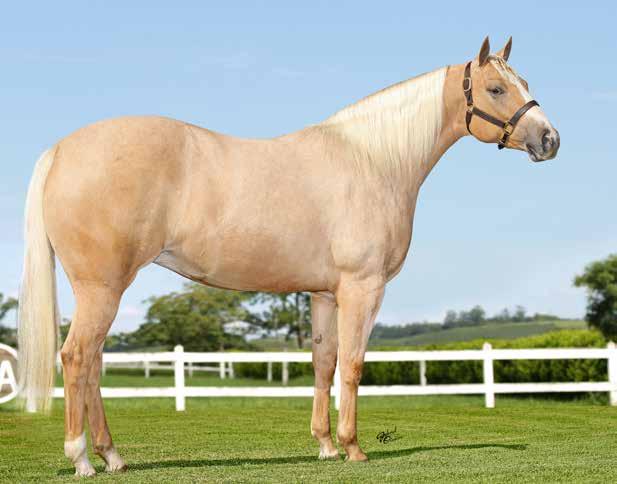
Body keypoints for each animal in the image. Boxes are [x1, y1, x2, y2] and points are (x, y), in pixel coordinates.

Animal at [18, 37, 560, 476]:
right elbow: (353, 365)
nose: (549, 139)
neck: (373, 161)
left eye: (524, 83)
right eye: (495, 89)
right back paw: (83, 458)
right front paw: (353, 448)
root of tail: (61, 150)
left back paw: (112, 456)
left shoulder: (323, 294)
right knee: (77, 358)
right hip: (103, 287)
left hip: (102, 290)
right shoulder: (363, 288)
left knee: (91, 365)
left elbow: (323, 362)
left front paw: (325, 446)